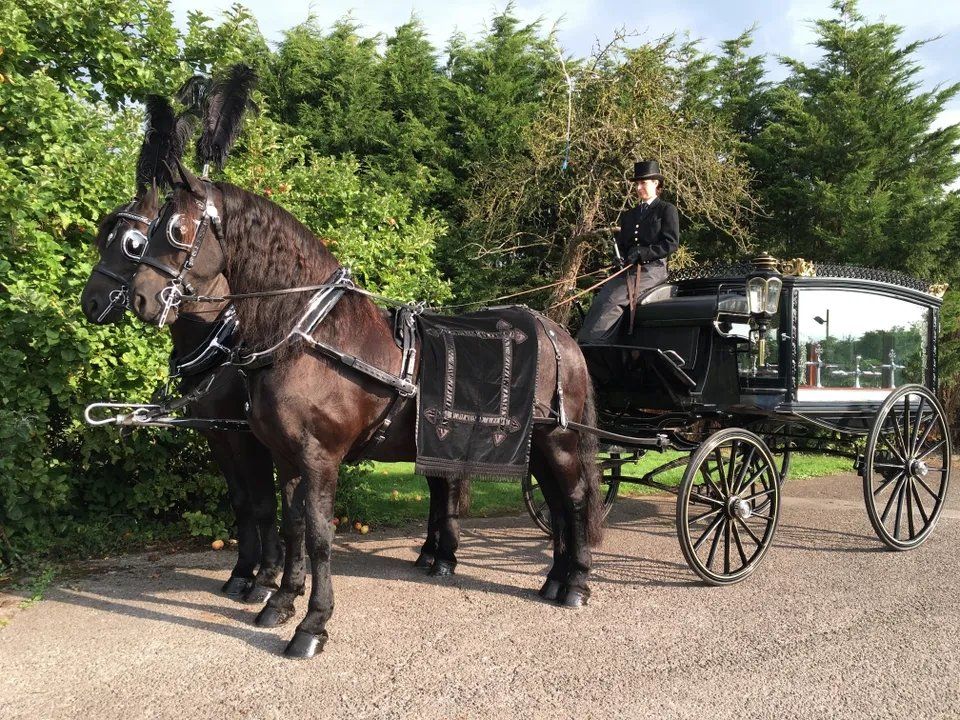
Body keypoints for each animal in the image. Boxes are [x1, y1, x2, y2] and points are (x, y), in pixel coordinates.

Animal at [80, 186, 283, 604]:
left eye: (133, 245)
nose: (90, 302)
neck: (222, 344)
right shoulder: (217, 434)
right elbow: (241, 502)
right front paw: (243, 571)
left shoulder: (249, 437)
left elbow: (264, 504)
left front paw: (267, 580)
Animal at [127, 159, 604, 659]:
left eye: (177, 229)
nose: (140, 297)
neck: (312, 337)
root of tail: (558, 334)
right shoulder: (285, 457)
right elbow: (293, 525)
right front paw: (281, 601)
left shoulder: (319, 457)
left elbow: (319, 535)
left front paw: (313, 623)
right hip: (535, 447)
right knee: (554, 501)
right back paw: (553, 579)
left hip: (559, 441)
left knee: (574, 500)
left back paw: (576, 584)